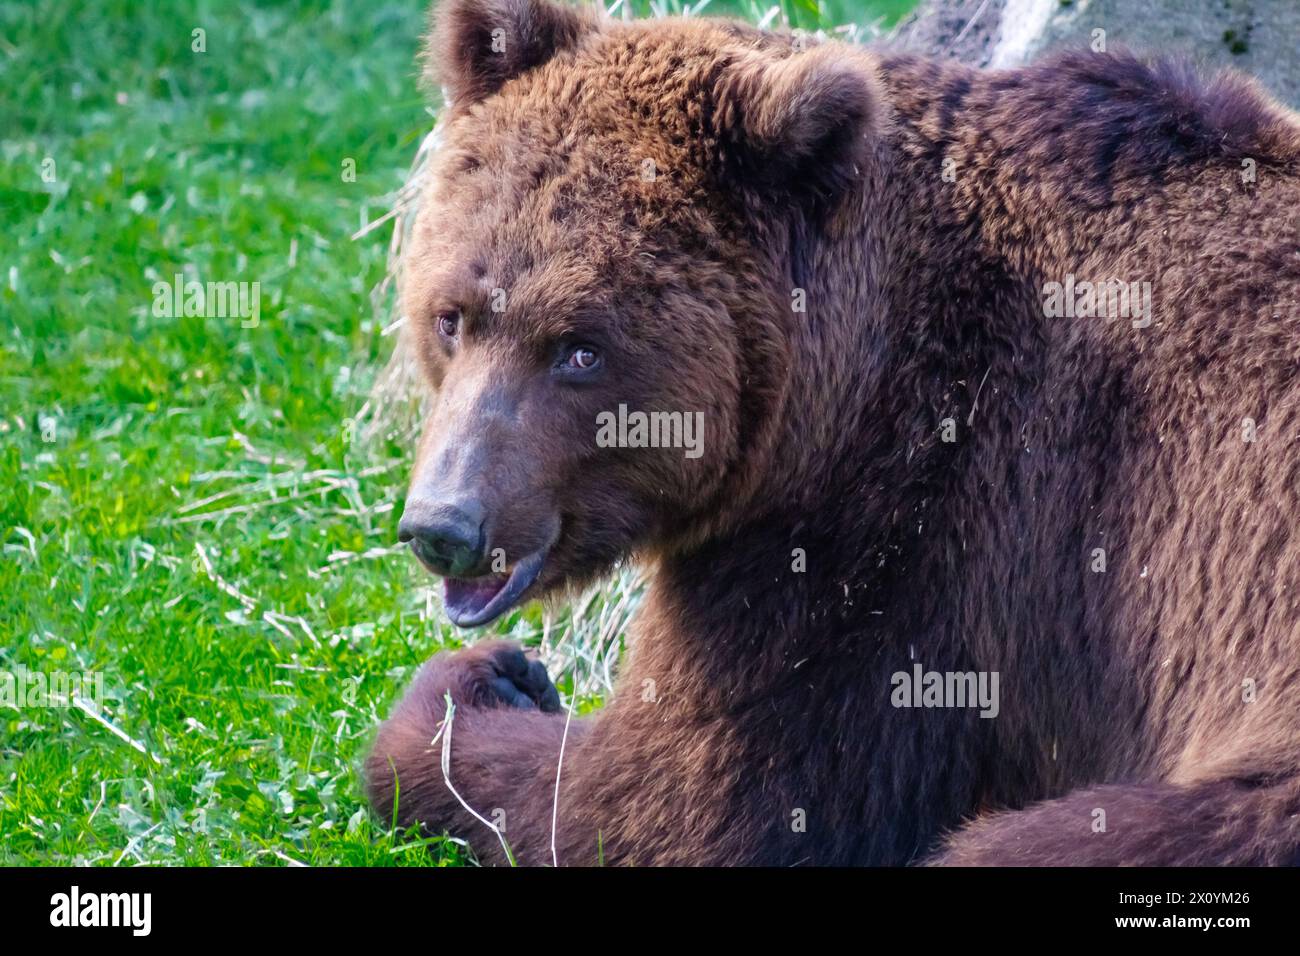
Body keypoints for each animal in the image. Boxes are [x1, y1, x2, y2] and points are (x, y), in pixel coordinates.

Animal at [364, 0, 1300, 868]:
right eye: (453, 317)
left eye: (580, 349)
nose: (444, 525)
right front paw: (500, 677)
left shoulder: (907, 519)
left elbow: (673, 801)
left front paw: (469, 691)